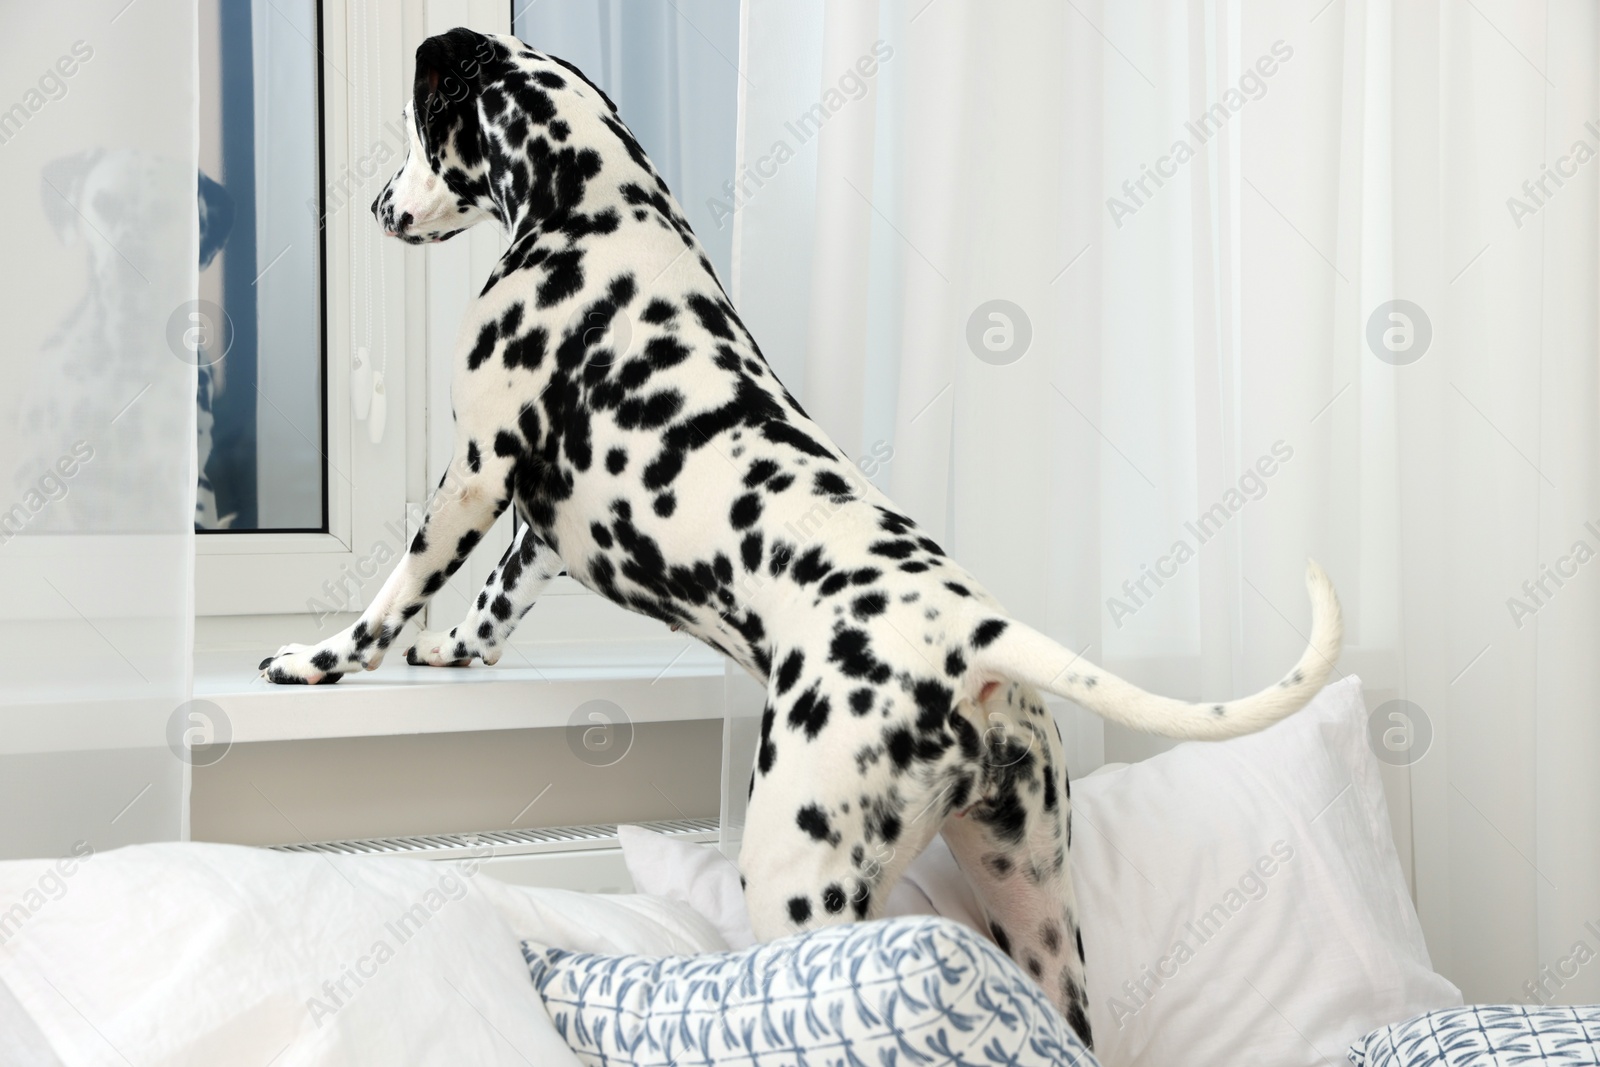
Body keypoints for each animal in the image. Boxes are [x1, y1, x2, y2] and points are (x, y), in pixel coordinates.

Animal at [259, 29, 1337, 1049]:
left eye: (416, 127)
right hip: (1034, 905)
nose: (376, 206)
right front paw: (457, 649)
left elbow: (395, 596)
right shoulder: (542, 519)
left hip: (795, 881)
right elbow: (494, 598)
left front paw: (318, 659)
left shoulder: (477, 469)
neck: (593, 210)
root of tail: (972, 637)